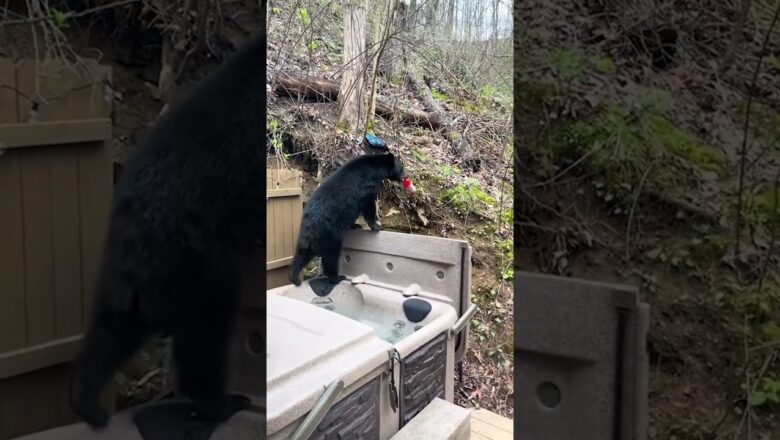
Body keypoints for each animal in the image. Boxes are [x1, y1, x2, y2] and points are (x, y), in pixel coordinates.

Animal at [71, 33, 266, 430]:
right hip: (200, 262)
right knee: (206, 334)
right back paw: (222, 402)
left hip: (124, 275)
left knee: (109, 332)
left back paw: (88, 405)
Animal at [290, 153, 406, 288]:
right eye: (401, 168)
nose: (405, 177)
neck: (376, 167)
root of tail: (310, 228)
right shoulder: (367, 185)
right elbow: (368, 205)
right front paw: (376, 226)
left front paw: (356, 225)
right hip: (329, 235)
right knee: (331, 257)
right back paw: (337, 277)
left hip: (305, 239)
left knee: (301, 255)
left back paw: (295, 278)